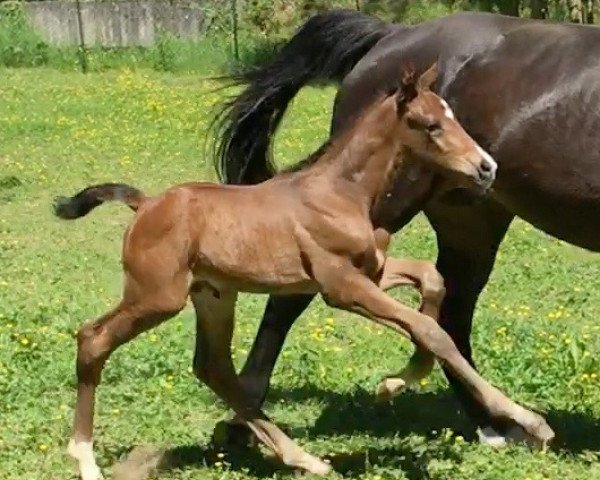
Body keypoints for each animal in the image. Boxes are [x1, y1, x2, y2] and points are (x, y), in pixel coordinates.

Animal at [56, 64, 552, 480]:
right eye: (431, 125)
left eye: (454, 117)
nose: (486, 167)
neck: (341, 192)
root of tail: (144, 205)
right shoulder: (340, 286)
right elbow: (429, 328)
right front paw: (530, 421)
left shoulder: (371, 272)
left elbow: (431, 285)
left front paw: (394, 383)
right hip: (157, 296)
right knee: (93, 339)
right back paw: (85, 459)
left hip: (213, 294)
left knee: (213, 367)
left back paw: (304, 458)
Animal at [211, 10, 600, 446]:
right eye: (431, 123)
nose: (487, 164)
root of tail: (391, 35)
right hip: (387, 207)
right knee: (292, 299)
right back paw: (242, 421)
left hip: (469, 221)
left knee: (451, 313)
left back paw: (494, 423)